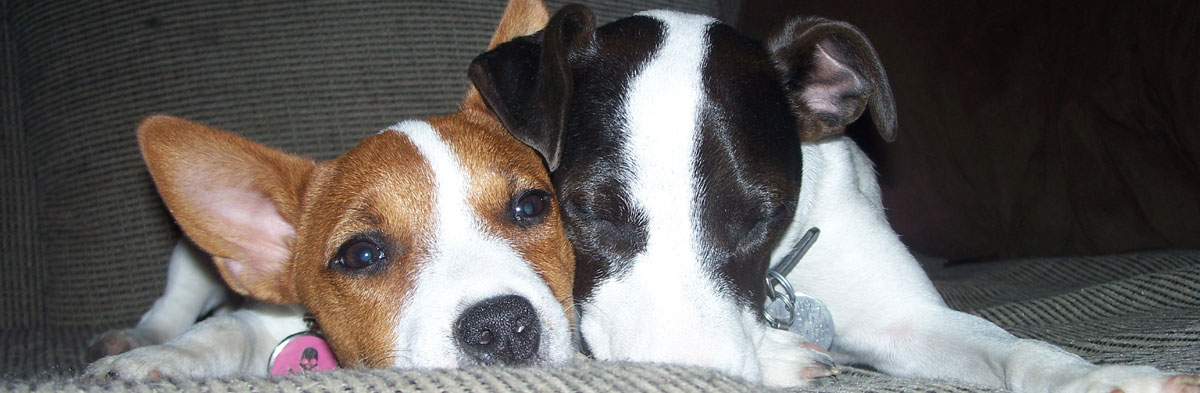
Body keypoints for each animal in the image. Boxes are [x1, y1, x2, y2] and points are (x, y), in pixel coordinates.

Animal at [85, 0, 576, 378]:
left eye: (531, 206)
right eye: (361, 255)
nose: (503, 325)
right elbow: (222, 329)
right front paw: (162, 357)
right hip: (189, 256)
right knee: (174, 302)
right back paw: (136, 338)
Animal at [468, 3, 1200, 393]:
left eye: (764, 215)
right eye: (588, 210)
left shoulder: (907, 320)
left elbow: (1013, 347)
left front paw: (1097, 377)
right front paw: (774, 355)